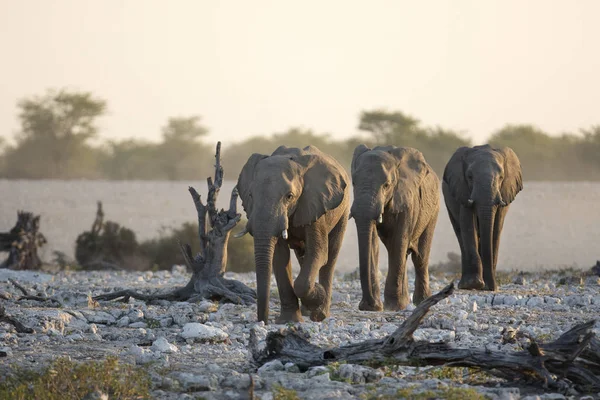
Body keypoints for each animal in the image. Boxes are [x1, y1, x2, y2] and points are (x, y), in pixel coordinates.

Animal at [234, 145, 346, 324]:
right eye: (250, 195)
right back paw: (309, 311)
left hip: (342, 209)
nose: (263, 321)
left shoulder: (315, 202)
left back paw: (320, 313)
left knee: (330, 256)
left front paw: (317, 295)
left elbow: (319, 253)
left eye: (289, 196)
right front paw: (289, 321)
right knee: (303, 256)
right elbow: (280, 257)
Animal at [350, 145, 438, 310]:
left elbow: (399, 241)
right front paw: (376, 307)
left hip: (433, 210)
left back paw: (421, 301)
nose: (368, 305)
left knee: (419, 256)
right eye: (353, 183)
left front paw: (393, 306)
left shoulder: (408, 200)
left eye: (386, 185)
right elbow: (373, 243)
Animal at [442, 144, 524, 290]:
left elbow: (496, 228)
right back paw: (465, 284)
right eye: (469, 177)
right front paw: (474, 284)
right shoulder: (462, 190)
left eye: (501, 177)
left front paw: (489, 286)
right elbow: (468, 225)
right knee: (460, 234)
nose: (491, 287)